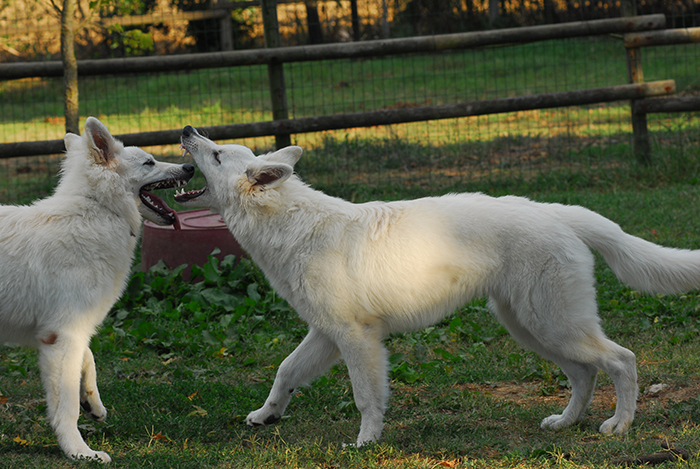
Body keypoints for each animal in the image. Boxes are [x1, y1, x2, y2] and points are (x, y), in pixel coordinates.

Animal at [0, 117, 193, 460]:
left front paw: (93, 402)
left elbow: (87, 357)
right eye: (149, 162)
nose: (189, 167)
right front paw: (79, 452)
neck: (99, 210)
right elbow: (65, 408)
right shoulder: (62, 336)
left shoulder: (68, 331)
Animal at [176, 124, 700, 446]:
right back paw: (566, 422)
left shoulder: (356, 338)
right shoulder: (325, 334)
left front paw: (365, 442)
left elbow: (366, 397)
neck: (290, 224)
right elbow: (285, 372)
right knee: (585, 373)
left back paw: (620, 425)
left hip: (553, 324)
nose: (186, 132)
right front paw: (267, 415)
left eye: (216, 154)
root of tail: (557, 211)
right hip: (532, 327)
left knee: (621, 360)